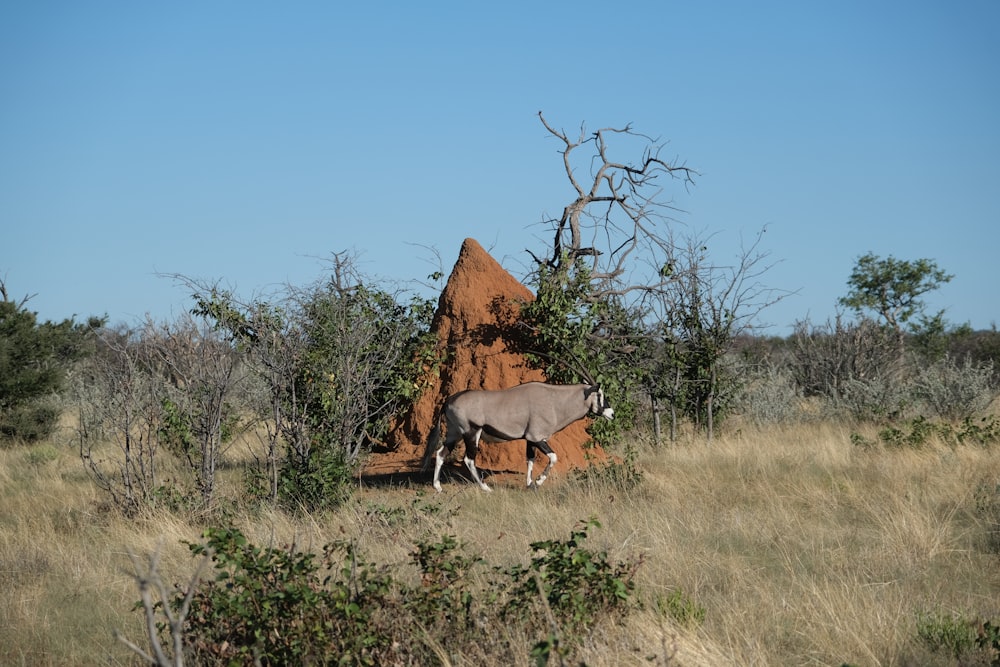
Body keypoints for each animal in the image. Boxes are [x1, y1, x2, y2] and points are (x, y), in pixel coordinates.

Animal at [420, 384, 608, 494]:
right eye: (599, 395)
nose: (611, 413)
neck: (553, 399)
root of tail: (448, 401)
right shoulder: (537, 437)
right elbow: (553, 457)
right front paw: (538, 482)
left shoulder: (530, 439)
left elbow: (530, 459)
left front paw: (529, 484)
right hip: (471, 433)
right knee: (469, 459)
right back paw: (486, 488)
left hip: (455, 433)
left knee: (441, 453)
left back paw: (438, 486)